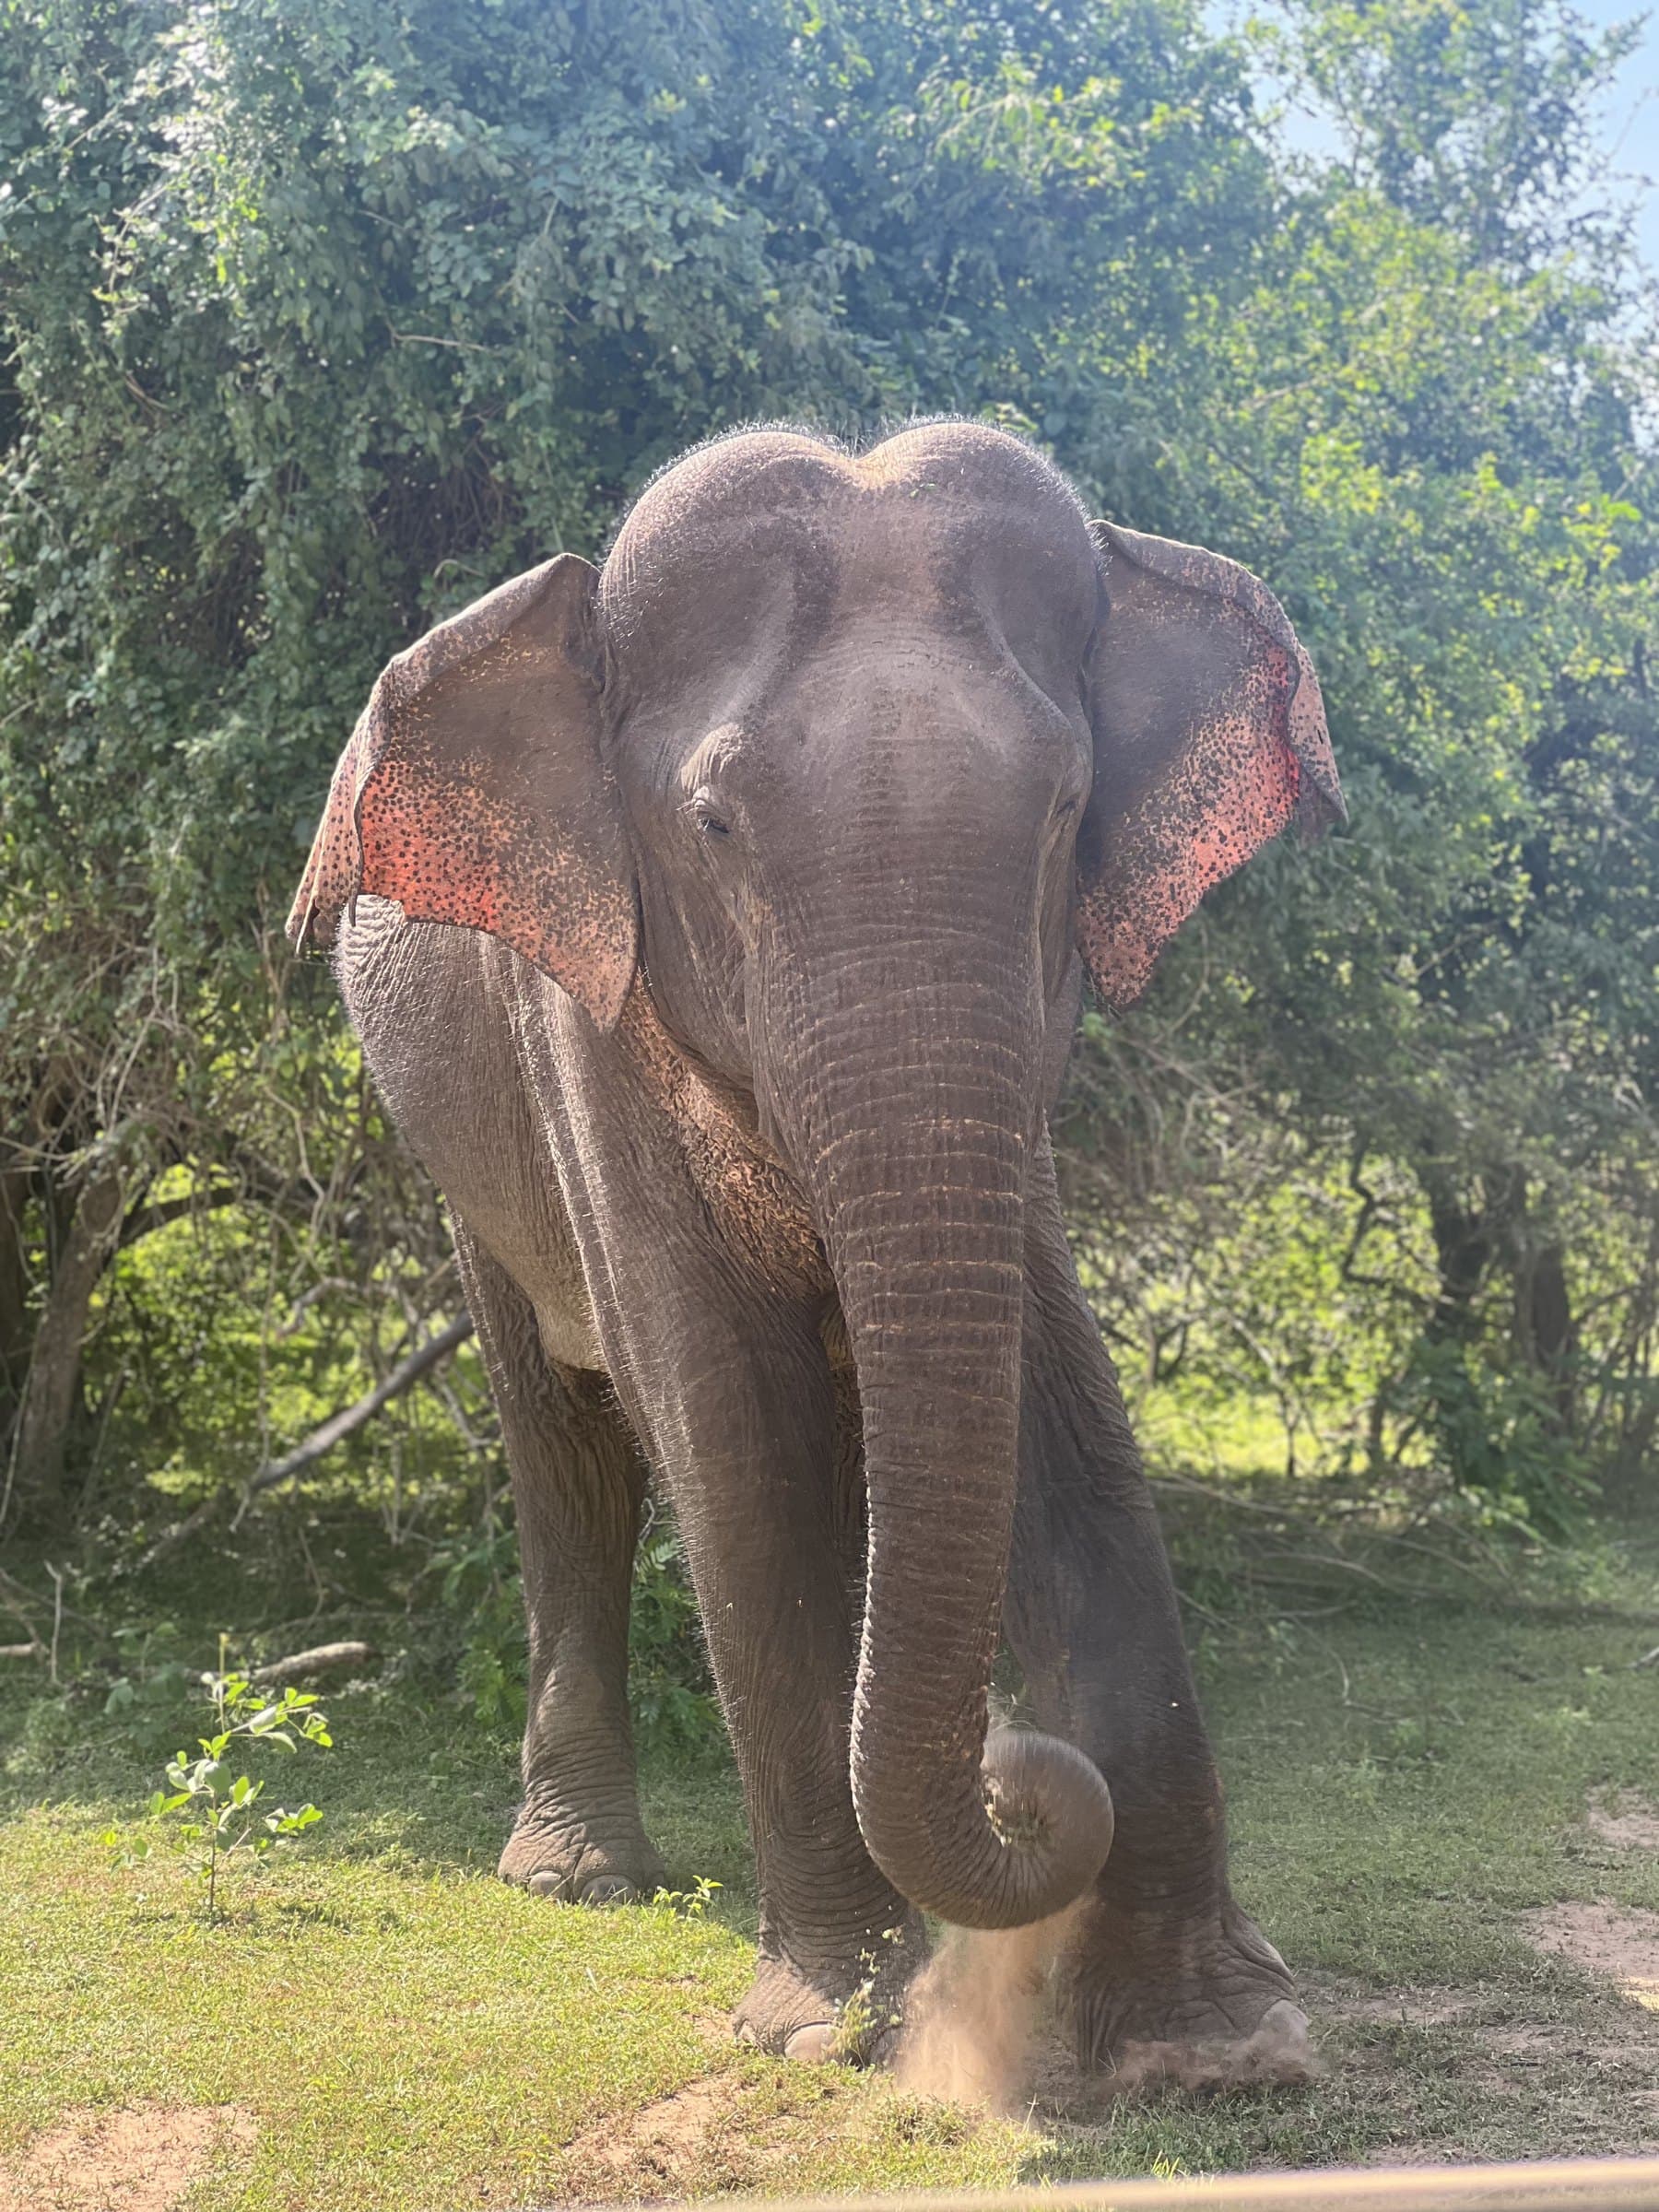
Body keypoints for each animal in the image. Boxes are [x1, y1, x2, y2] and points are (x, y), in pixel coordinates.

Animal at [288, 419, 1343, 2083]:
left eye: (1067, 808)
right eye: (715, 827)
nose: (1020, 1777)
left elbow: (1066, 1408)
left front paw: (1220, 2047)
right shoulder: (590, 1018)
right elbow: (730, 1427)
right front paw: (834, 2031)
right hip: (461, 1155)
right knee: (566, 1444)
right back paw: (578, 1875)